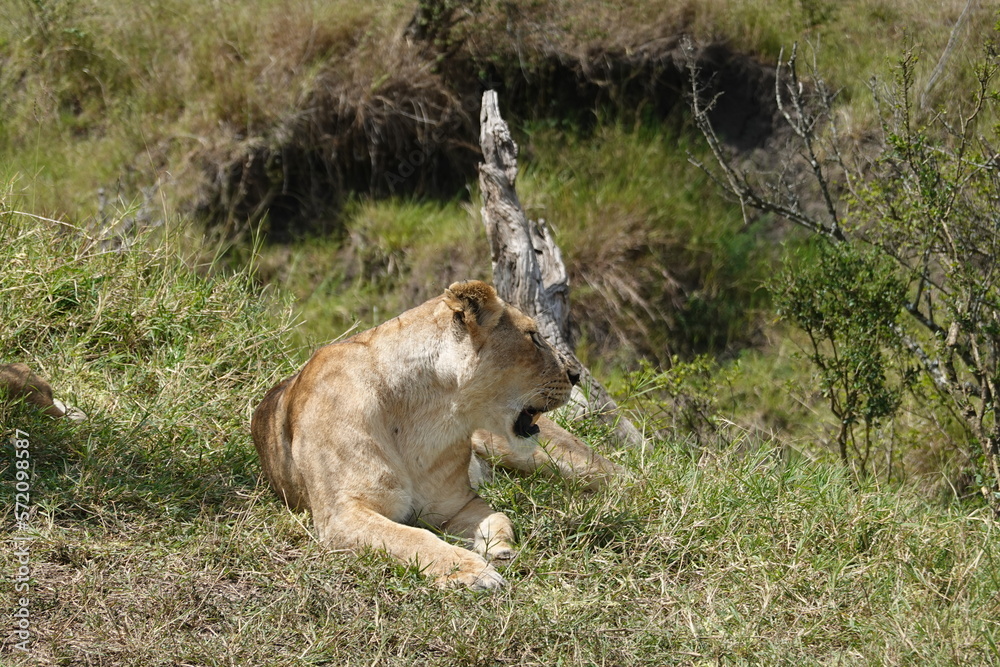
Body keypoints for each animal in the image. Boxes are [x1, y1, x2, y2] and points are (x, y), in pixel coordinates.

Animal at [251, 280, 620, 589]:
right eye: (533, 336)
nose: (575, 374)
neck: (429, 414)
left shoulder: (456, 504)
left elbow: (497, 516)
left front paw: (499, 548)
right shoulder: (342, 515)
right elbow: (413, 538)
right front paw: (474, 571)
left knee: (616, 475)